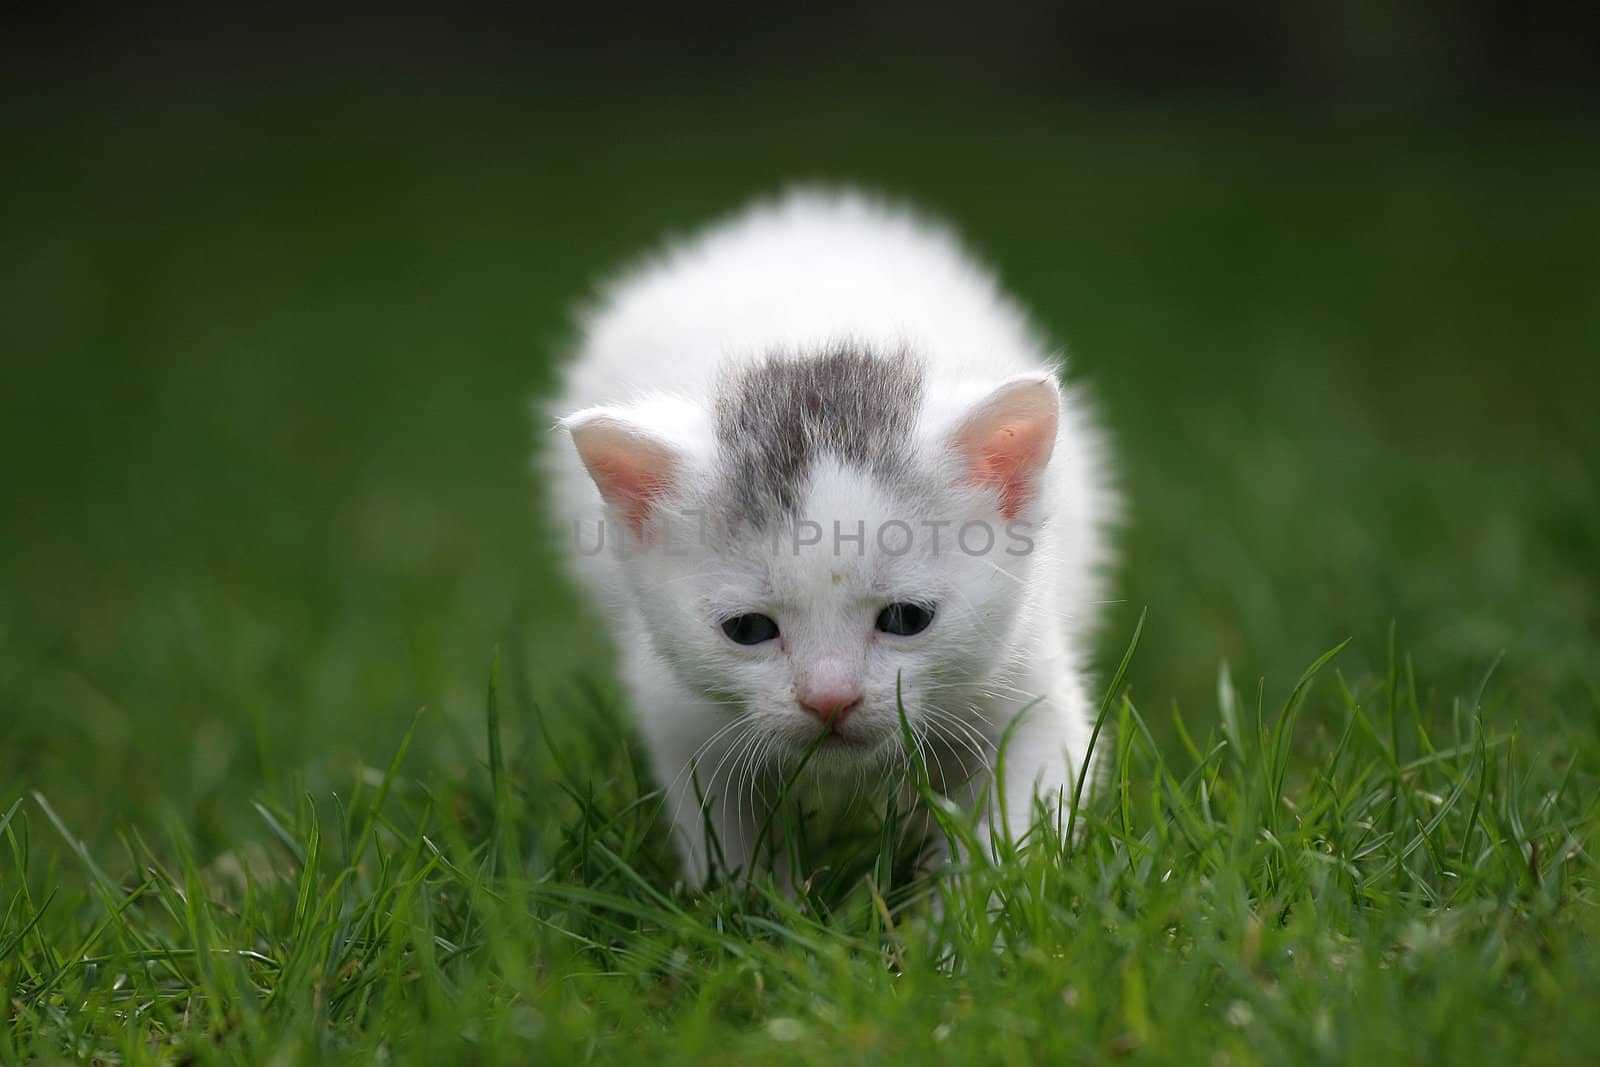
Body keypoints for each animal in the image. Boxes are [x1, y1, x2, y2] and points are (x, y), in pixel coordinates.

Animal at [544, 187, 1120, 889]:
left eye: (906, 618)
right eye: (748, 629)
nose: (830, 700)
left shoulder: (1026, 670)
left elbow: (1024, 812)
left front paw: (966, 909)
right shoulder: (679, 712)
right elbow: (722, 832)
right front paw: (755, 907)